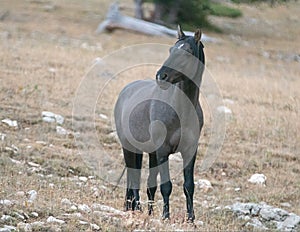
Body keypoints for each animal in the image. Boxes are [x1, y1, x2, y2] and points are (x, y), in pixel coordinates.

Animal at [113, 24, 205, 222]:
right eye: (171, 50)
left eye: (187, 52)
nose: (161, 76)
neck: (181, 109)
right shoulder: (163, 151)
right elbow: (166, 186)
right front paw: (166, 217)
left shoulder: (189, 151)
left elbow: (188, 185)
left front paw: (191, 219)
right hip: (129, 148)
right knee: (133, 177)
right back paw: (135, 207)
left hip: (149, 152)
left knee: (147, 184)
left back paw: (143, 210)